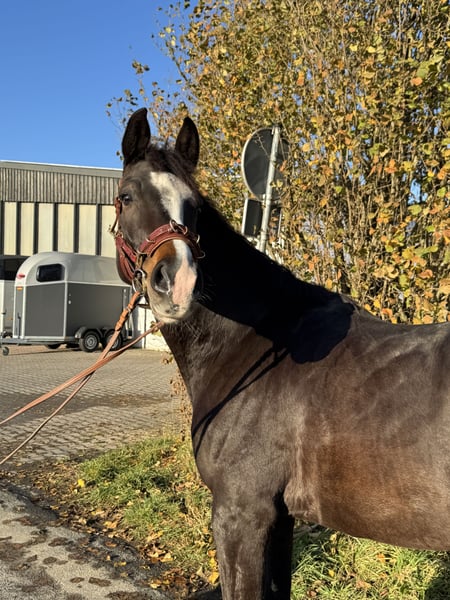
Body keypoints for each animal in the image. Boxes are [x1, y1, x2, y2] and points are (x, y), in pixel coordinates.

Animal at [113, 107, 450, 599]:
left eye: (193, 207)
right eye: (126, 196)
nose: (176, 281)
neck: (259, 345)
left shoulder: (242, 513)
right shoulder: (281, 519)